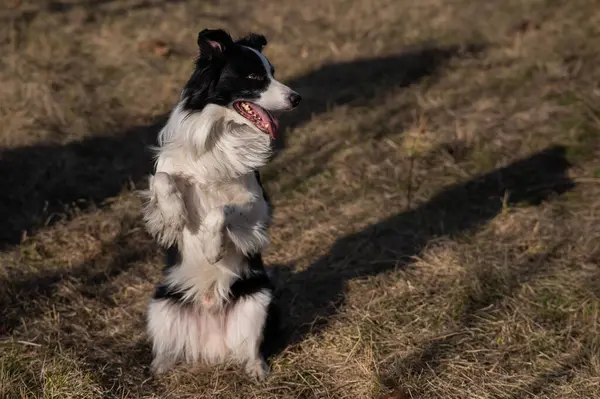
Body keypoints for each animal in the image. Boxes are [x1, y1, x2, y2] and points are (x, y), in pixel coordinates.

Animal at [140, 28, 300, 382]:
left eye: (273, 72)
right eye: (254, 77)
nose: (297, 99)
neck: (220, 135)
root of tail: (211, 345)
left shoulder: (258, 209)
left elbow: (221, 210)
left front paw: (213, 249)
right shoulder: (167, 175)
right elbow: (163, 180)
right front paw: (174, 216)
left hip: (258, 300)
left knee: (251, 348)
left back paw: (257, 371)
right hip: (160, 305)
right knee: (167, 349)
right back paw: (158, 370)